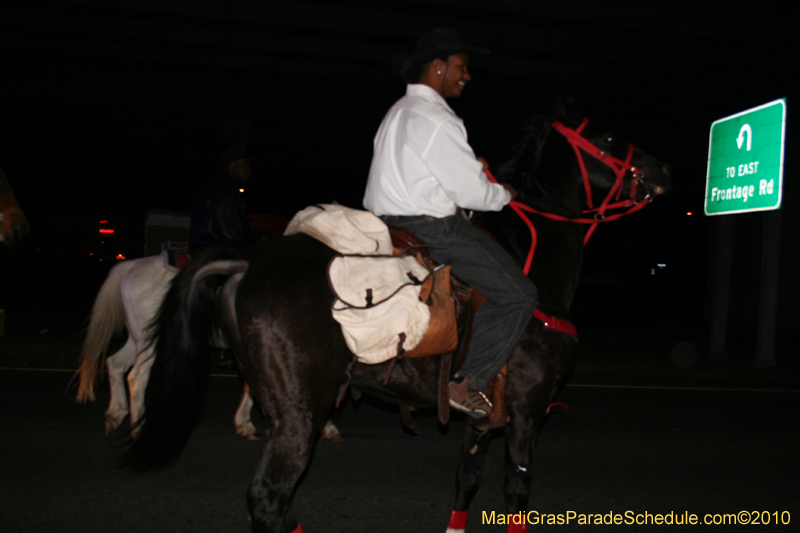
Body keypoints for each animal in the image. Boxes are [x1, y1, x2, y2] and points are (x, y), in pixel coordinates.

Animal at [125, 110, 672, 528]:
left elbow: (466, 485)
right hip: (300, 416)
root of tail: (247, 262)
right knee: (269, 500)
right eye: (607, 138)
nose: (662, 167)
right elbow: (517, 493)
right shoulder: (527, 411)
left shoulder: (483, 421)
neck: (534, 268)